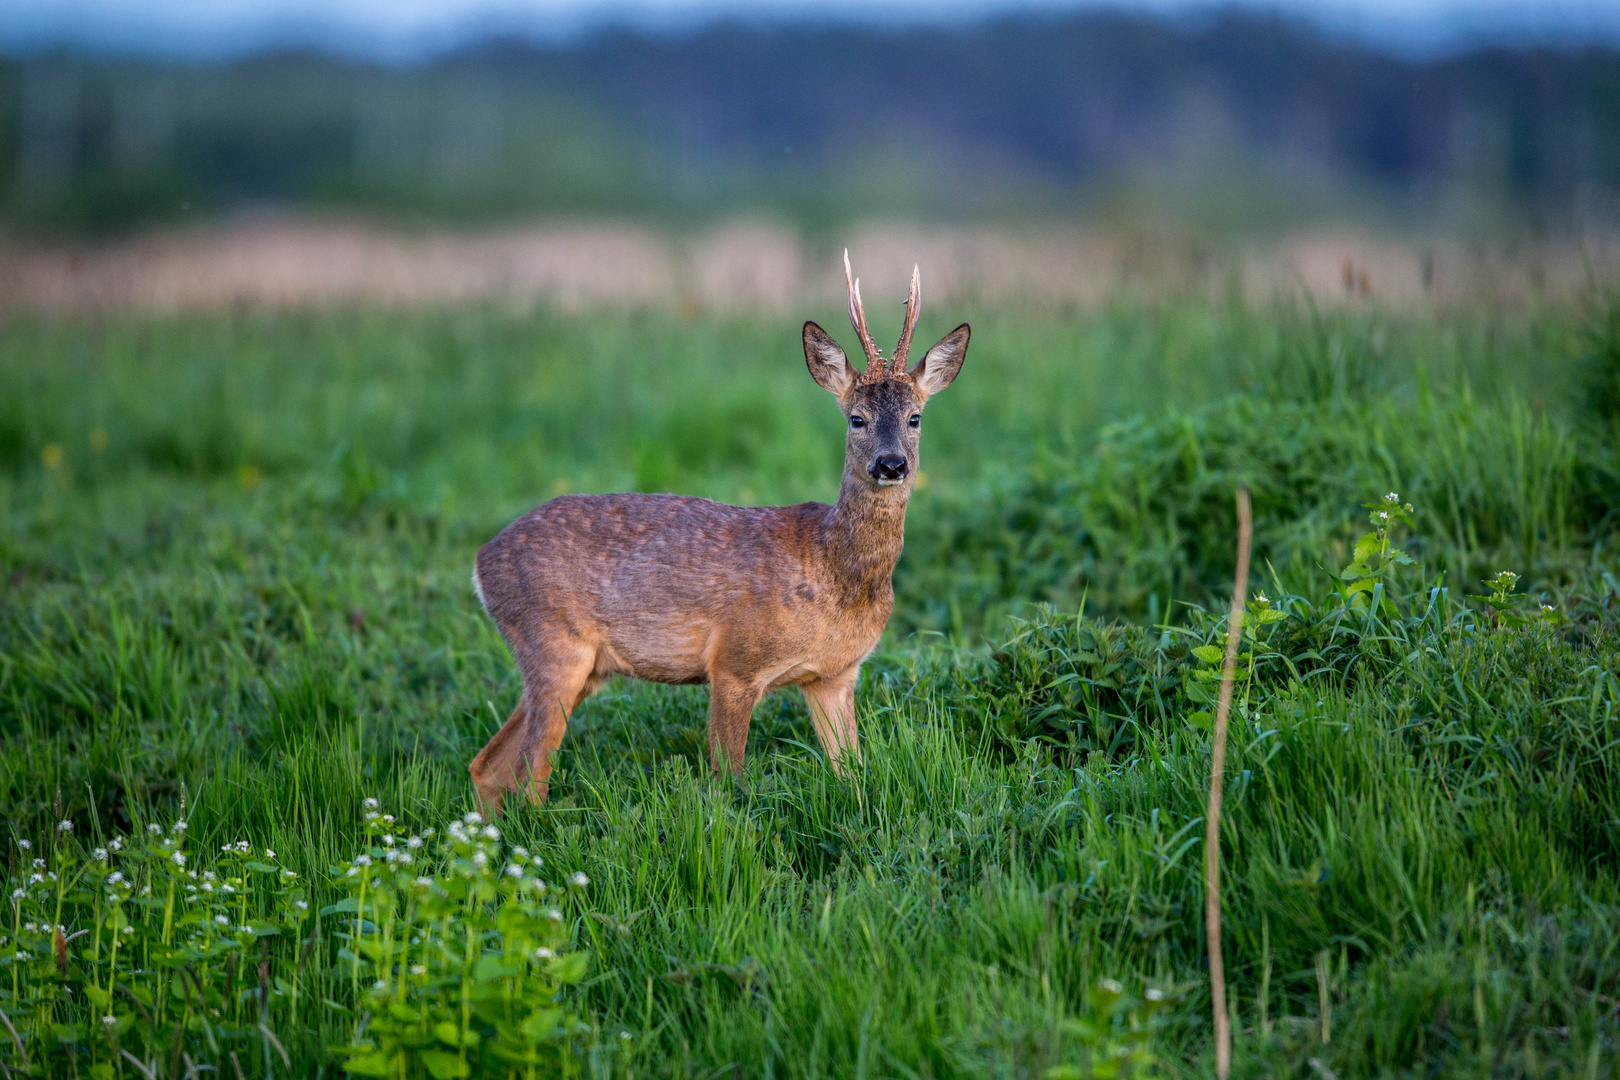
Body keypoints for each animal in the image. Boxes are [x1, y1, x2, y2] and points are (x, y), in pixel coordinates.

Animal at [473, 255, 972, 809]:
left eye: (915, 417)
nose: (892, 464)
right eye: (856, 418)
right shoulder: (734, 663)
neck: (833, 570)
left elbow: (853, 773)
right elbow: (728, 781)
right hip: (553, 643)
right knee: (528, 775)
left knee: (488, 766)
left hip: (580, 668)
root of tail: (481, 562)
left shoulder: (835, 675)